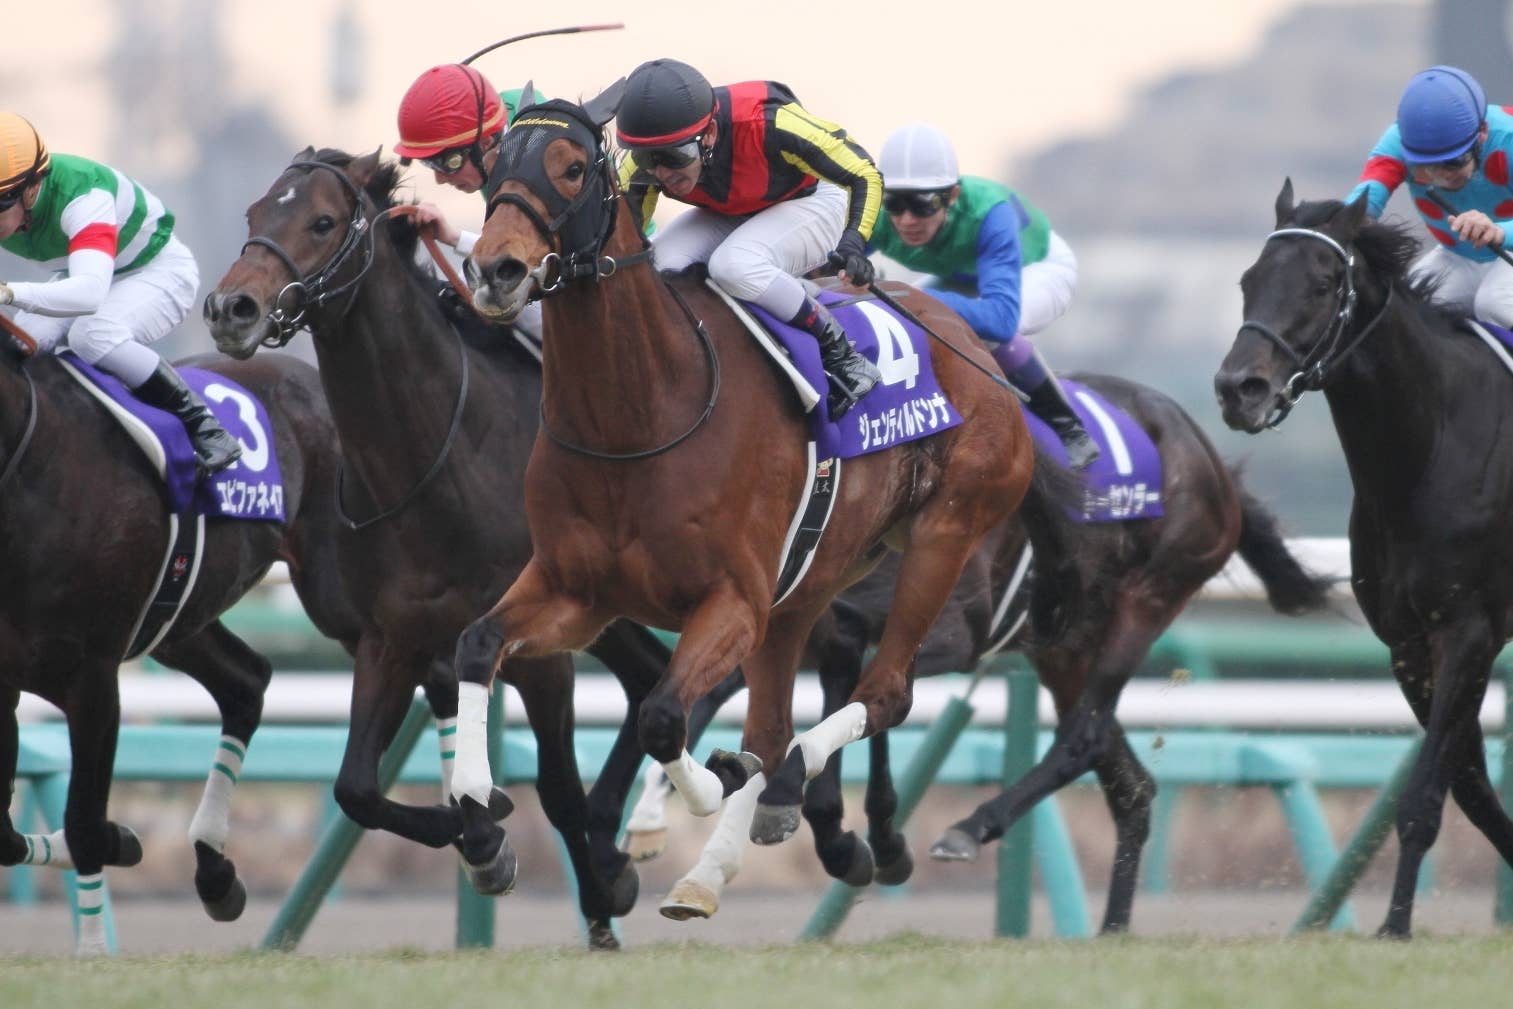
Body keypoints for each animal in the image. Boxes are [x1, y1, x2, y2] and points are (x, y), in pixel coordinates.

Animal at [0, 340, 361, 954]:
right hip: (178, 620)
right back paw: (215, 871)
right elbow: (7, 833)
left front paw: (96, 938)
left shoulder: (93, 678)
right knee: (248, 681)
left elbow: (83, 823)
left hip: (344, 594)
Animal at [204, 147, 678, 950]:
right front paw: (484, 841)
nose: (231, 308)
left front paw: (599, 893)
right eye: (254, 214)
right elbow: (356, 788)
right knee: (649, 674)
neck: (437, 461)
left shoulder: (538, 650)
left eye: (322, 221)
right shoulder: (390, 639)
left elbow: (556, 787)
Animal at [453, 90, 1084, 919]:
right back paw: (713, 867)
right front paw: (475, 814)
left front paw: (700, 789)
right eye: (494, 164)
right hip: (811, 579)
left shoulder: (730, 600)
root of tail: (975, 348)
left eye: (569, 167)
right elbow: (477, 644)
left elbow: (662, 716)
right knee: (777, 719)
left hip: (942, 535)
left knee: (879, 696)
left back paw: (788, 794)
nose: (495, 269)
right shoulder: (576, 591)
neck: (640, 416)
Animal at [623, 373, 1333, 929]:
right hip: (1064, 649)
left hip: (1145, 602)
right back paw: (1110, 930)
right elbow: (737, 698)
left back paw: (969, 829)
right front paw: (668, 828)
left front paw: (863, 835)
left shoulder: (945, 629)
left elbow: (855, 709)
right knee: (1128, 783)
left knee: (1081, 737)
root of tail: (1213, 460)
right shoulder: (798, 620)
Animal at [1214, 179, 1513, 938]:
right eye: (1248, 280)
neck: (1425, 452)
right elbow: (1467, 784)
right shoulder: (1407, 642)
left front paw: (1395, 924)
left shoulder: (1469, 628)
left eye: (1322, 284)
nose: (1238, 389)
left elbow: (1426, 792)